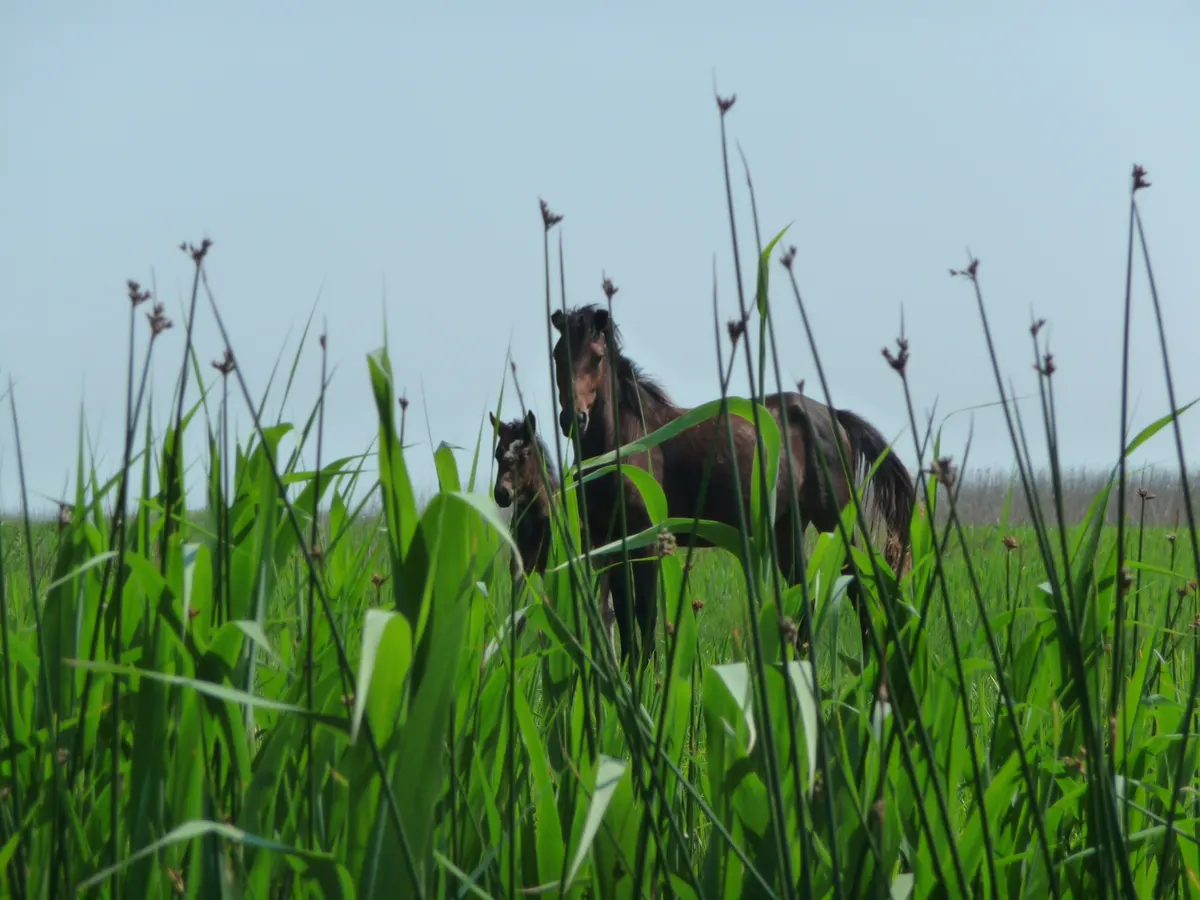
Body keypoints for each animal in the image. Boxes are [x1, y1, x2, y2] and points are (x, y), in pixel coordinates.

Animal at [489, 410, 617, 652]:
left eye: (526, 452)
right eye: (498, 453)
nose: (502, 494)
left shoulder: (552, 566)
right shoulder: (521, 566)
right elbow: (520, 617)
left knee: (607, 611)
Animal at [549, 303, 916, 665]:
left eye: (597, 356)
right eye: (557, 355)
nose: (573, 420)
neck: (627, 442)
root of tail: (833, 415)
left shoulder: (645, 539)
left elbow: (644, 613)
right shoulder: (607, 542)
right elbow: (624, 616)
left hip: (833, 521)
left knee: (856, 587)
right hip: (787, 530)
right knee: (806, 598)